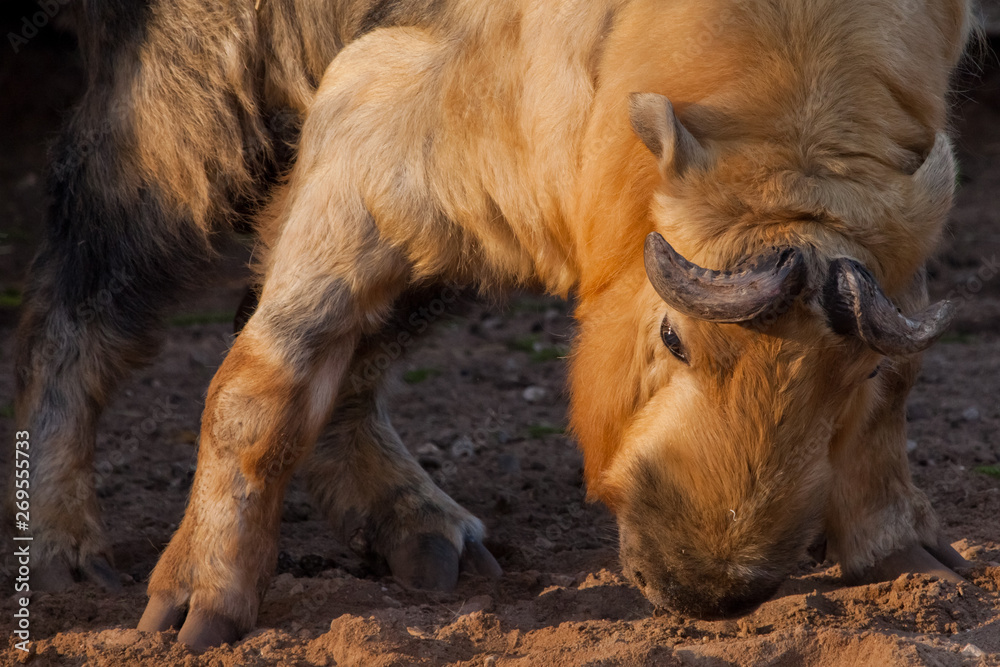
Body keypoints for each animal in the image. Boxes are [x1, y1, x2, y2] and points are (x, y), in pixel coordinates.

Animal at [14, 0, 972, 651]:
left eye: (849, 378)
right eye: (673, 338)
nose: (705, 590)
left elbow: (905, 378)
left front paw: (901, 553)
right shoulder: (379, 121)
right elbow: (263, 385)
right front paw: (198, 606)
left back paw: (423, 532)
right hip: (192, 115)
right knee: (79, 297)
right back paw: (65, 545)